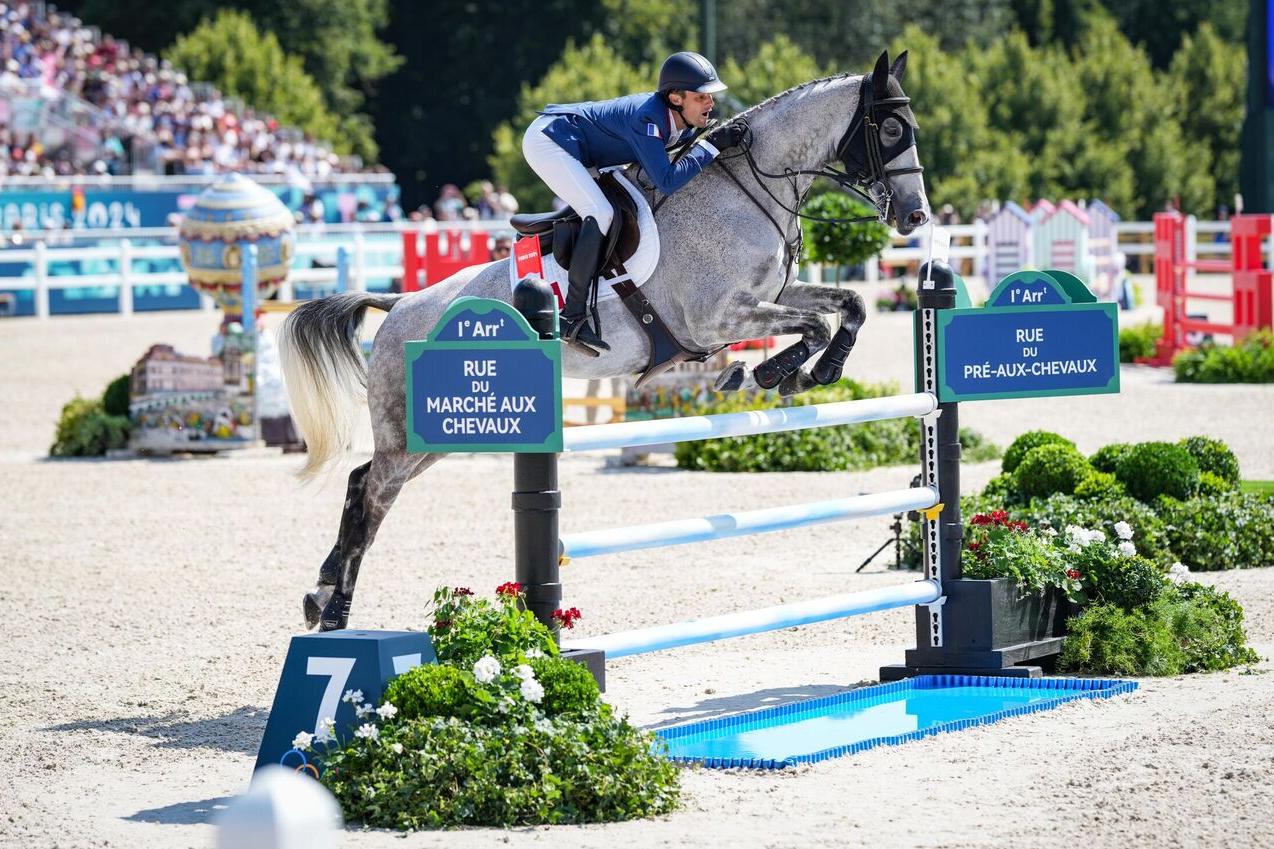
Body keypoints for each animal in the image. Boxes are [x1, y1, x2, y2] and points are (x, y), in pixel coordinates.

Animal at [279, 49, 932, 624]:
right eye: (891, 127)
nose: (915, 217)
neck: (745, 189)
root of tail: (399, 304)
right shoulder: (718, 317)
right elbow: (813, 324)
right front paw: (773, 372)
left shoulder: (771, 296)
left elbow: (848, 306)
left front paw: (812, 371)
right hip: (412, 433)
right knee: (372, 497)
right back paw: (337, 611)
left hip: (438, 435)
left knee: (361, 483)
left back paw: (318, 593)